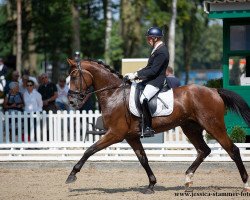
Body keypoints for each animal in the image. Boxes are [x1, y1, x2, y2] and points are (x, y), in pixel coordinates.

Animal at [66, 58, 250, 194]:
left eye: (74, 77)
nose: (71, 101)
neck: (114, 94)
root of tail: (213, 90)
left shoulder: (115, 134)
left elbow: (89, 150)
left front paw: (72, 175)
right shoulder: (131, 136)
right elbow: (143, 159)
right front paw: (151, 185)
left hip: (214, 126)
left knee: (233, 150)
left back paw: (245, 183)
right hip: (190, 128)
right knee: (204, 150)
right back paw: (188, 179)